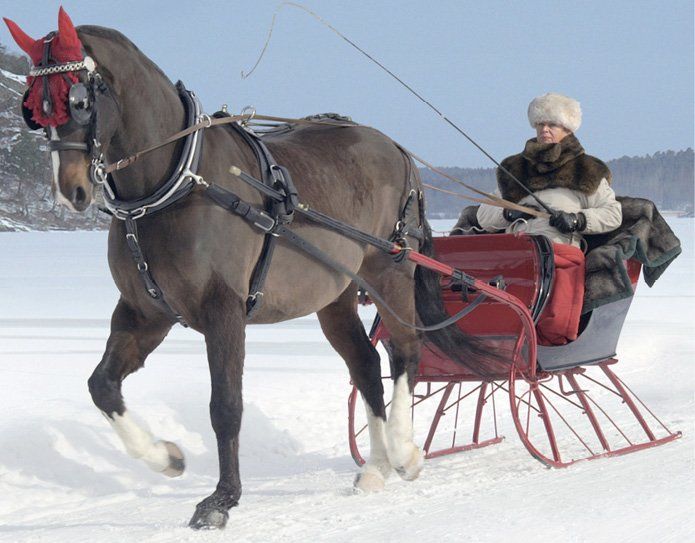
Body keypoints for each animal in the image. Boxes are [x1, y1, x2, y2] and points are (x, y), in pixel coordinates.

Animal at [5, 9, 488, 529]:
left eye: (77, 100)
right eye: (33, 108)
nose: (68, 191)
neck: (174, 182)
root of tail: (396, 147)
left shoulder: (224, 309)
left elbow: (225, 405)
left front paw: (221, 499)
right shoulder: (145, 312)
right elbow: (102, 386)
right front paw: (167, 457)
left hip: (389, 272)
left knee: (405, 352)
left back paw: (403, 451)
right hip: (335, 294)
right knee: (365, 363)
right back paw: (376, 467)